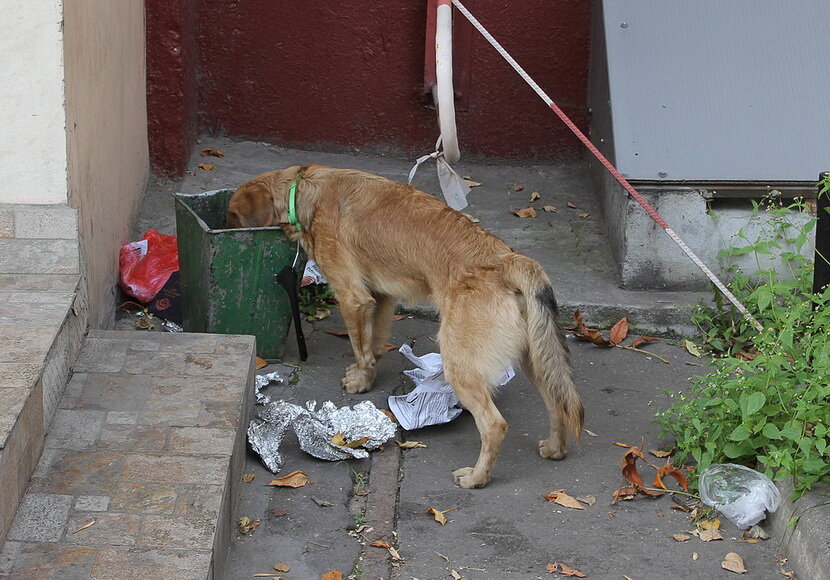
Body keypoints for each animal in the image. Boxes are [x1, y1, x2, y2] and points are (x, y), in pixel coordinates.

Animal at [228, 165, 584, 488]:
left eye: (231, 216)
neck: (305, 189)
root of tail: (510, 260)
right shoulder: (381, 296)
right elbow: (372, 343)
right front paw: (369, 373)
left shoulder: (353, 297)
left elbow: (359, 345)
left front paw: (360, 381)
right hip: (534, 360)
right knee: (557, 402)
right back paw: (556, 448)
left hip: (460, 365)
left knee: (495, 425)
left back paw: (477, 478)